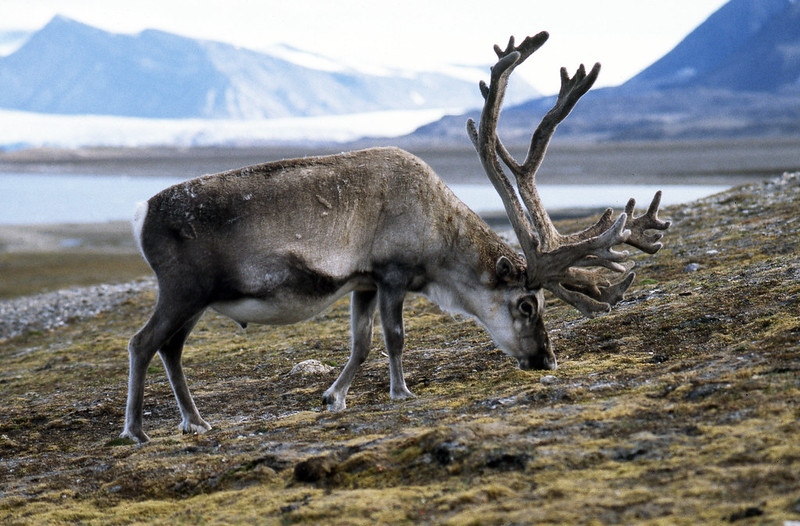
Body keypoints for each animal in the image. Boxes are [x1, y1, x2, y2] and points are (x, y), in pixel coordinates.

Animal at [121, 32, 670, 443]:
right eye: (527, 304)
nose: (546, 359)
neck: (439, 239)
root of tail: (140, 215)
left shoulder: (361, 283)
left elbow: (361, 344)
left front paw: (334, 397)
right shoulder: (392, 274)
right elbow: (395, 338)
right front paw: (401, 392)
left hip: (198, 300)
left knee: (171, 348)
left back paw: (195, 421)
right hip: (182, 289)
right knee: (142, 342)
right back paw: (136, 431)